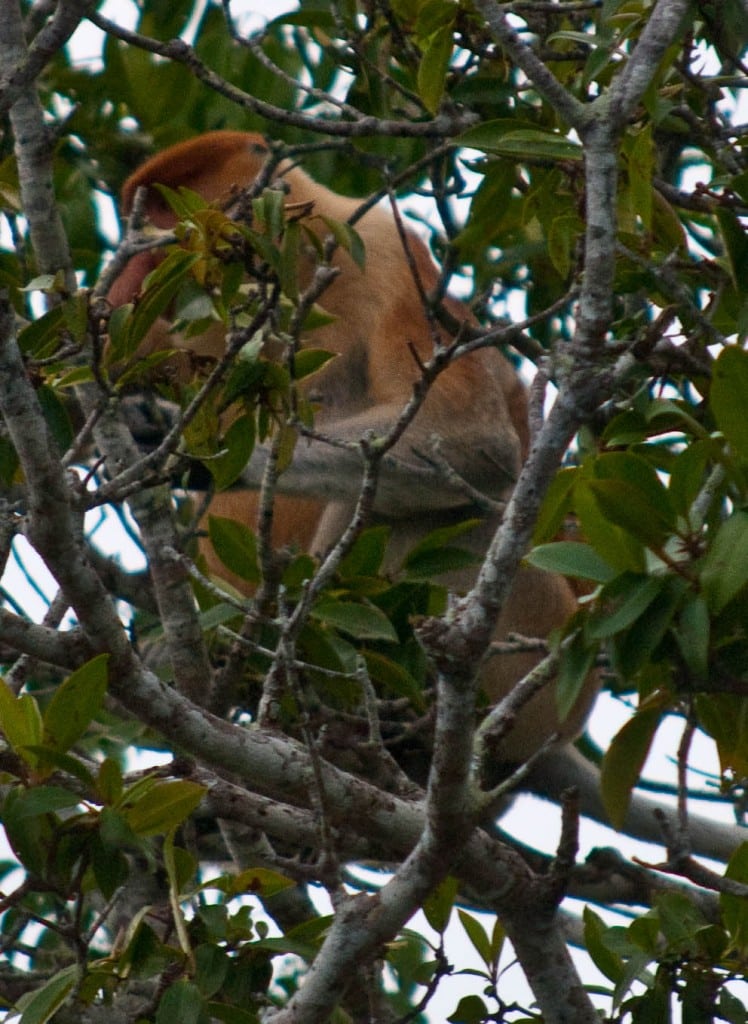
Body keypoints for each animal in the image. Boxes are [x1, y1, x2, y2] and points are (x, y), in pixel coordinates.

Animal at [107, 130, 599, 771]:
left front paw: (198, 456)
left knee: (424, 512)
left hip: (531, 640)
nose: (128, 277)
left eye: (165, 221)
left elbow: (475, 442)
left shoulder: (391, 255)